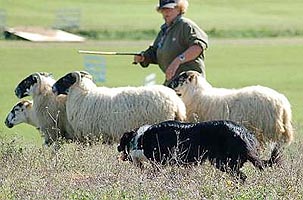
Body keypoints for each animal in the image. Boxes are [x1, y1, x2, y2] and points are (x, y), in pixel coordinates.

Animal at [117, 119, 282, 182]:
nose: (118, 150)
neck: (141, 138)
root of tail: (244, 133)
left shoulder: (159, 162)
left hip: (223, 163)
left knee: (242, 177)